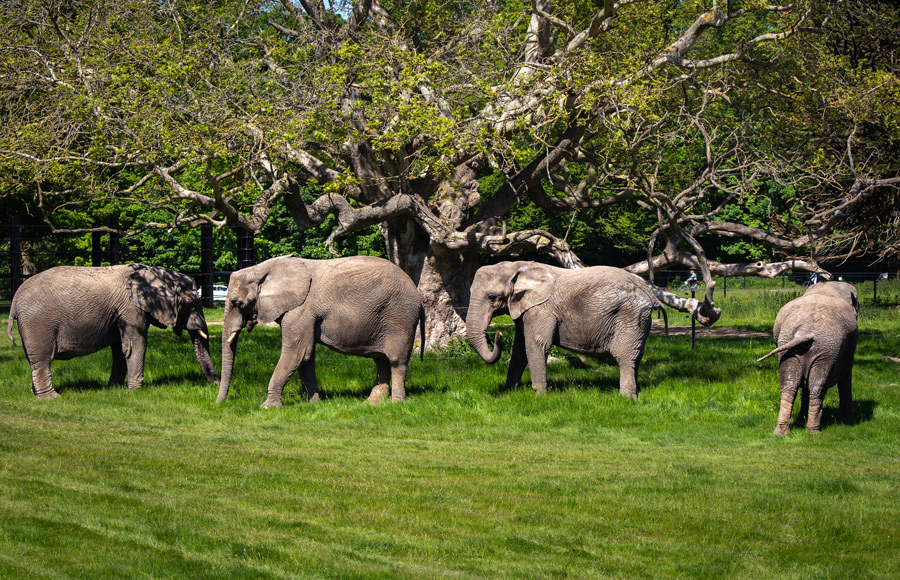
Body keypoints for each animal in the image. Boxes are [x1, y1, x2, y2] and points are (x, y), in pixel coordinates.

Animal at [6, 264, 219, 398]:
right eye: (192, 303)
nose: (215, 383)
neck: (155, 272)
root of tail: (15, 299)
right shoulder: (131, 309)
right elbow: (135, 345)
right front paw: (135, 392)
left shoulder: (120, 312)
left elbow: (120, 349)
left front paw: (113, 390)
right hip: (37, 323)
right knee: (42, 359)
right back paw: (51, 398)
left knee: (34, 360)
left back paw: (37, 395)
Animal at [216, 254, 425, 408]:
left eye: (238, 303)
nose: (219, 404)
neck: (263, 269)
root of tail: (418, 296)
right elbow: (306, 357)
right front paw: (315, 404)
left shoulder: (300, 310)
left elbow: (297, 353)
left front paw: (267, 407)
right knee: (381, 361)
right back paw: (371, 403)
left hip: (400, 317)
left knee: (396, 361)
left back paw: (397, 403)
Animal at [465, 261, 721, 399]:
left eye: (492, 298)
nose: (497, 335)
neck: (516, 267)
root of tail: (650, 296)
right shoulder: (526, 310)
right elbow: (519, 350)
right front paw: (511, 392)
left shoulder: (542, 309)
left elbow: (536, 346)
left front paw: (539, 395)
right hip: (639, 321)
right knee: (635, 357)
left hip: (630, 316)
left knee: (625, 356)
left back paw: (627, 399)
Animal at [758, 281, 859, 435]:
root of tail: (804, 331)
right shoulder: (847, 350)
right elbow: (846, 377)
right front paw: (848, 420)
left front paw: (801, 417)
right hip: (827, 348)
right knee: (817, 386)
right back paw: (814, 432)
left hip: (789, 346)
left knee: (789, 384)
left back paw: (781, 432)